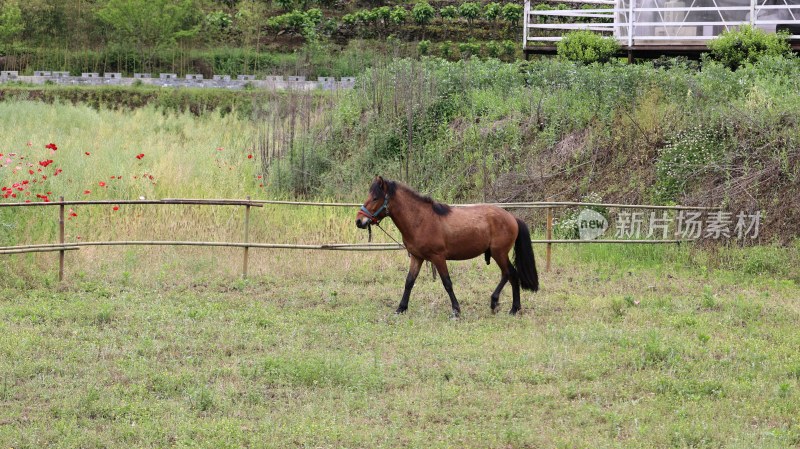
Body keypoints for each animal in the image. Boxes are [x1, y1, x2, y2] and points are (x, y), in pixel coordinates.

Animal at [354, 175, 536, 316]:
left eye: (375, 198)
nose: (359, 221)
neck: (421, 220)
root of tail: (512, 218)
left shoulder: (438, 258)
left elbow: (447, 283)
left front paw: (456, 310)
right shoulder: (417, 257)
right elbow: (409, 282)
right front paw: (401, 308)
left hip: (499, 253)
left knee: (511, 274)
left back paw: (511, 307)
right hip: (497, 253)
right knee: (508, 274)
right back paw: (502, 304)